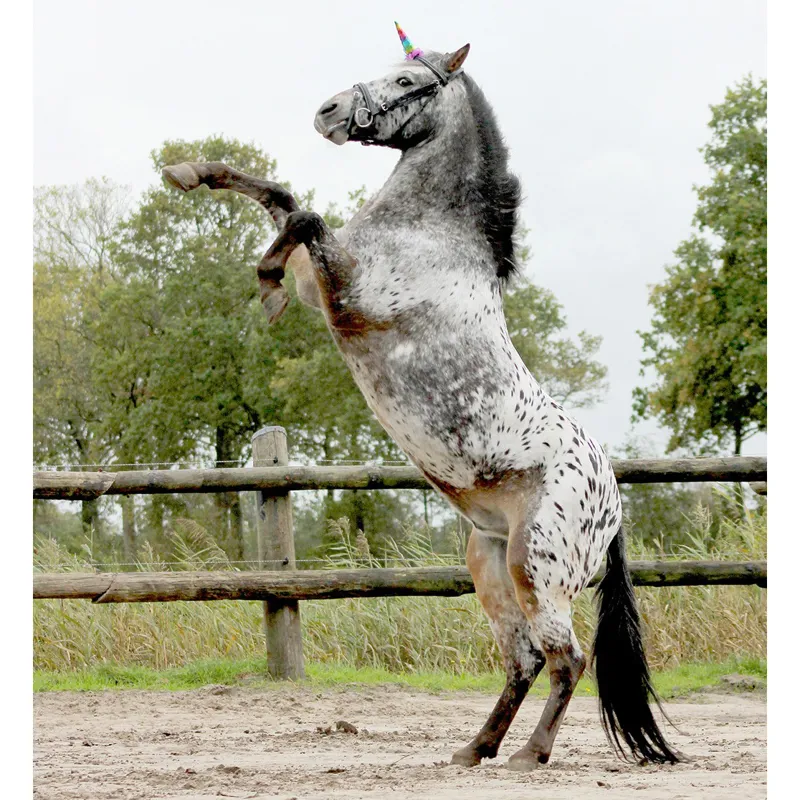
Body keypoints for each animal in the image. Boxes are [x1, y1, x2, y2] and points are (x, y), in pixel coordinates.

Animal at [162, 26, 679, 769]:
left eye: (409, 83)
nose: (328, 111)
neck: (428, 234)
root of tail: (611, 510)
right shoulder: (325, 279)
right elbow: (281, 197)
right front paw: (192, 172)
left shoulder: (345, 290)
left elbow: (302, 213)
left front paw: (265, 284)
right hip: (487, 561)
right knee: (523, 659)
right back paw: (474, 749)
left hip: (536, 567)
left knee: (567, 659)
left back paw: (529, 755)